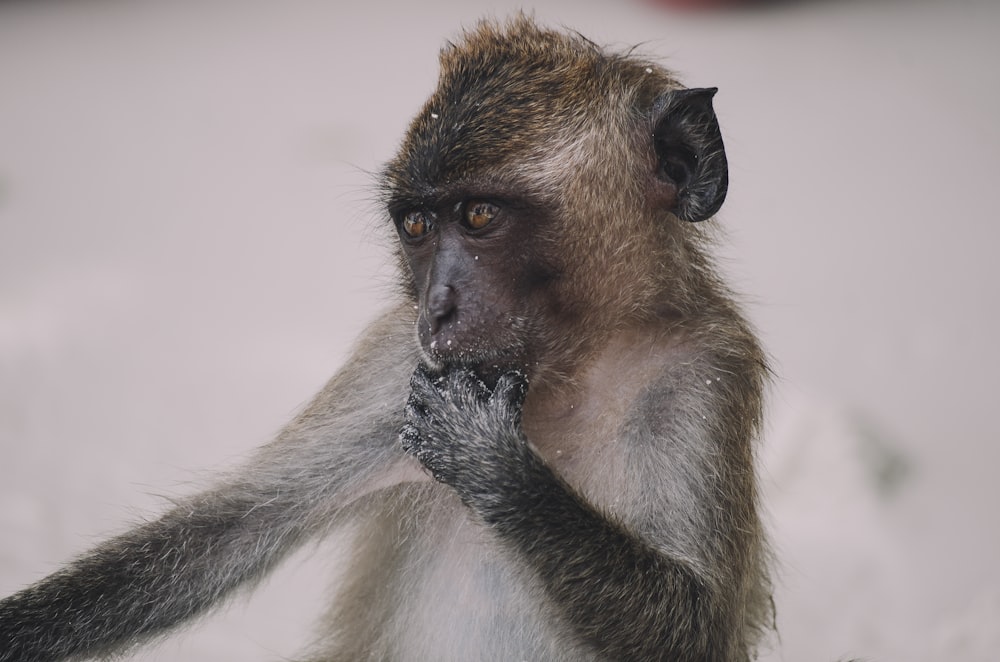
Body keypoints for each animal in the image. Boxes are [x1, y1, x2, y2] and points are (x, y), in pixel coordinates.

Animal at [0, 15, 772, 662]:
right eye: (417, 225)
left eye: (479, 215)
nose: (435, 308)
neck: (569, 366)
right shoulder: (394, 363)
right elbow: (224, 533)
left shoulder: (705, 372)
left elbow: (698, 627)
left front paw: (495, 464)